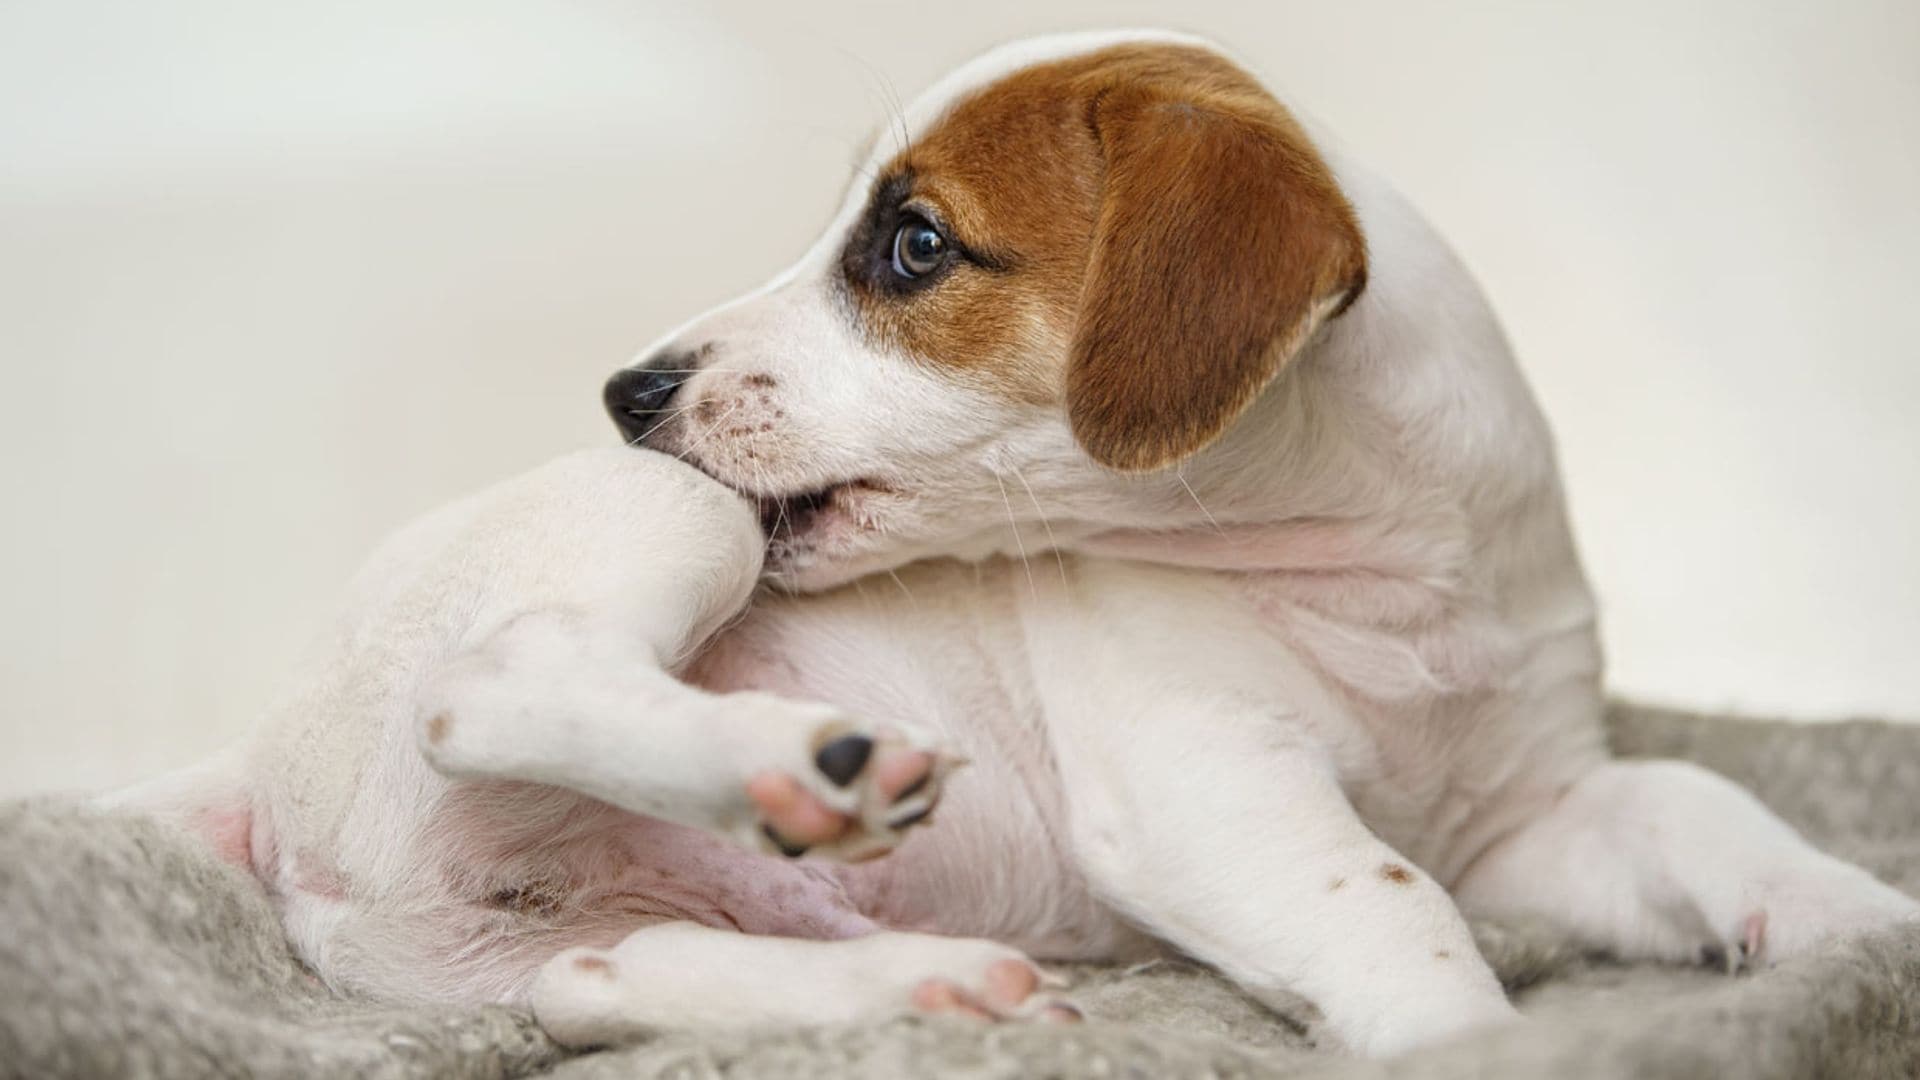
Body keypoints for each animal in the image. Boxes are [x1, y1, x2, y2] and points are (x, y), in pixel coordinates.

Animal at [123, 31, 1920, 1053]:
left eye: (916, 247)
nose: (628, 391)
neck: (1382, 580)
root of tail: (255, 763)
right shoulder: (1212, 792)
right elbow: (1393, 906)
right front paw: (1472, 1039)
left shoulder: (1529, 815)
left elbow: (1702, 806)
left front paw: (1856, 928)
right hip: (663, 529)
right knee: (494, 682)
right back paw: (802, 765)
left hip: (536, 943)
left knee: (603, 987)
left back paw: (921, 988)